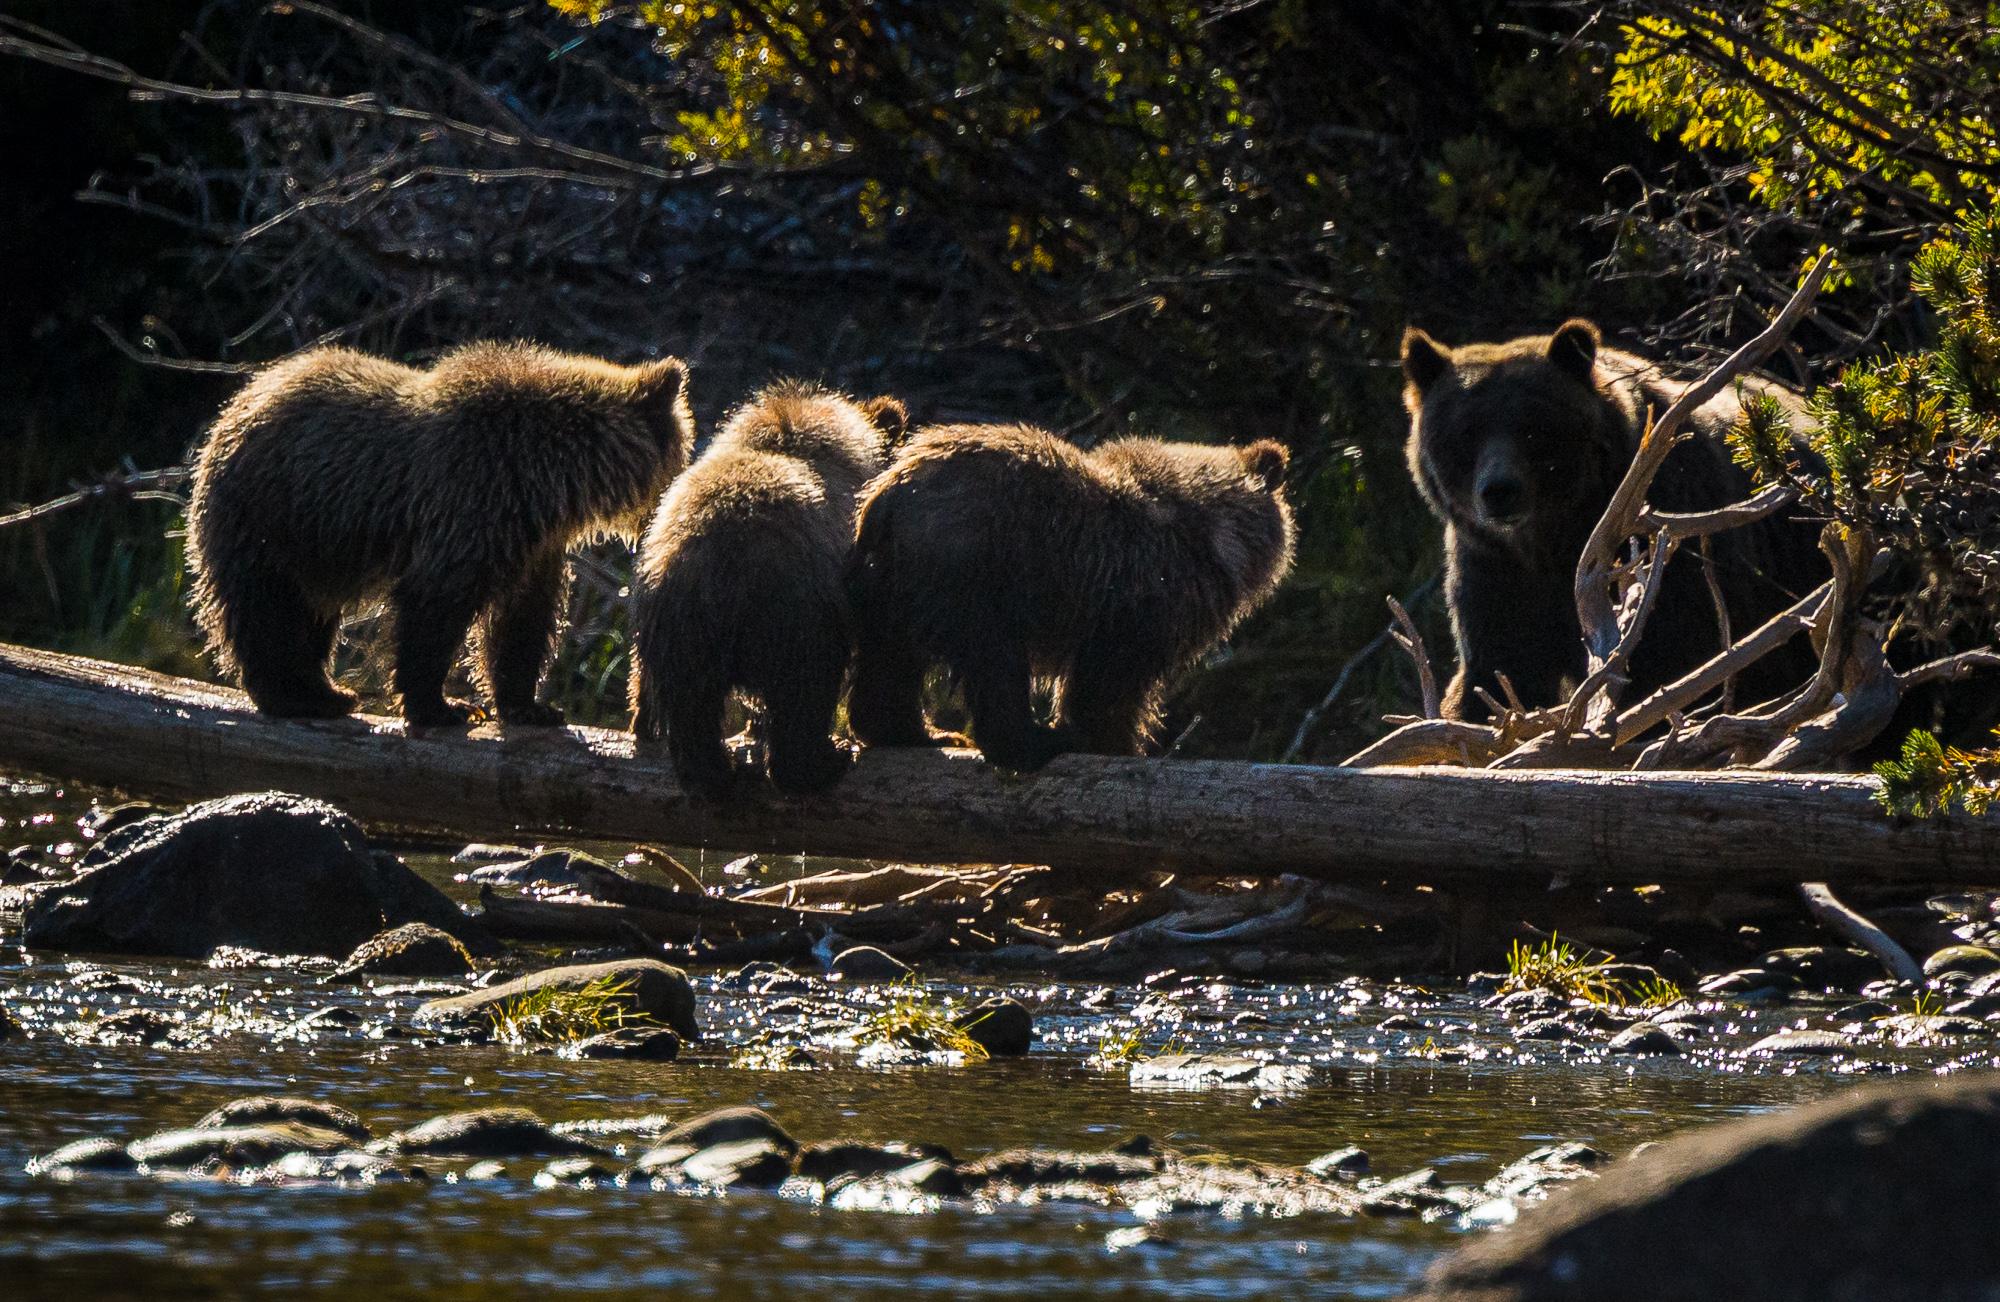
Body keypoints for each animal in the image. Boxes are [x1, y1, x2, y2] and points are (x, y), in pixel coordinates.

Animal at [187, 341, 694, 726]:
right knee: (268, 608)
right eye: (686, 451)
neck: (556, 477)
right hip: (272, 515)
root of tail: (238, 403)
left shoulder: (533, 541)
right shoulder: (473, 498)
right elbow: (435, 604)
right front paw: (446, 706)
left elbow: (521, 618)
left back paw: (327, 690)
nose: (672, 502)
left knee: (311, 614)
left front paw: (530, 706)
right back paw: (298, 695)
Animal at [628, 380, 908, 797]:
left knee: (686, 705)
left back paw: (692, 759)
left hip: (675, 620)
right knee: (803, 697)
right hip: (797, 614)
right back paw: (825, 761)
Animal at [846, 424, 1296, 771]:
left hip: (888, 583)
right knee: (993, 659)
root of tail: (887, 494)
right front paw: (1116, 744)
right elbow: (1110, 684)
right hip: (976, 570)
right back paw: (1029, 743)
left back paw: (916, 731)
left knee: (892, 658)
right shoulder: (1139, 596)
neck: (1214, 538)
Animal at [1400, 319, 1826, 722]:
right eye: (1467, 431)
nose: (1499, 491)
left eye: (1533, 428)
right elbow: (1499, 673)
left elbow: (1670, 660)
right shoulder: (1492, 571)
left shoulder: (1668, 536)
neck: (1554, 538)